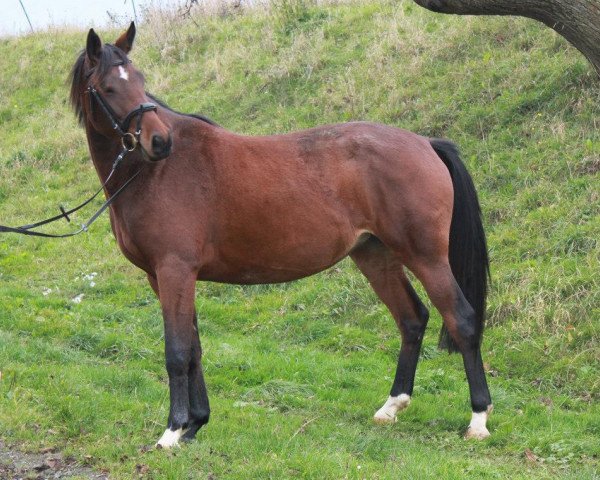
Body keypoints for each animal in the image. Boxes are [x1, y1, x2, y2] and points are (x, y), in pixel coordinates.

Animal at [69, 24, 492, 448]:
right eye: (108, 87)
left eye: (140, 81)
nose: (159, 141)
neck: (153, 173)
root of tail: (426, 143)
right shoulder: (163, 277)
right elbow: (193, 348)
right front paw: (195, 424)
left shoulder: (175, 271)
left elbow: (176, 351)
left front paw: (172, 432)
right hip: (375, 255)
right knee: (411, 319)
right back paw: (391, 407)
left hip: (426, 257)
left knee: (462, 319)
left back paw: (478, 418)